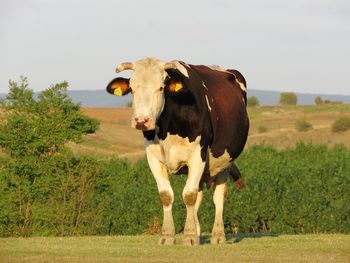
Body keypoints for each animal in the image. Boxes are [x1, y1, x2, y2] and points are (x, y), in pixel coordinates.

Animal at [106, 57, 249, 245]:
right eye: (131, 89)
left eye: (161, 87)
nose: (142, 120)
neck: (168, 129)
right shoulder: (153, 158)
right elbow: (167, 195)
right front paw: (168, 236)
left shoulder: (198, 155)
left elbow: (189, 195)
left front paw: (189, 237)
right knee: (198, 196)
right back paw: (198, 234)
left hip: (224, 162)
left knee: (218, 197)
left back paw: (218, 236)